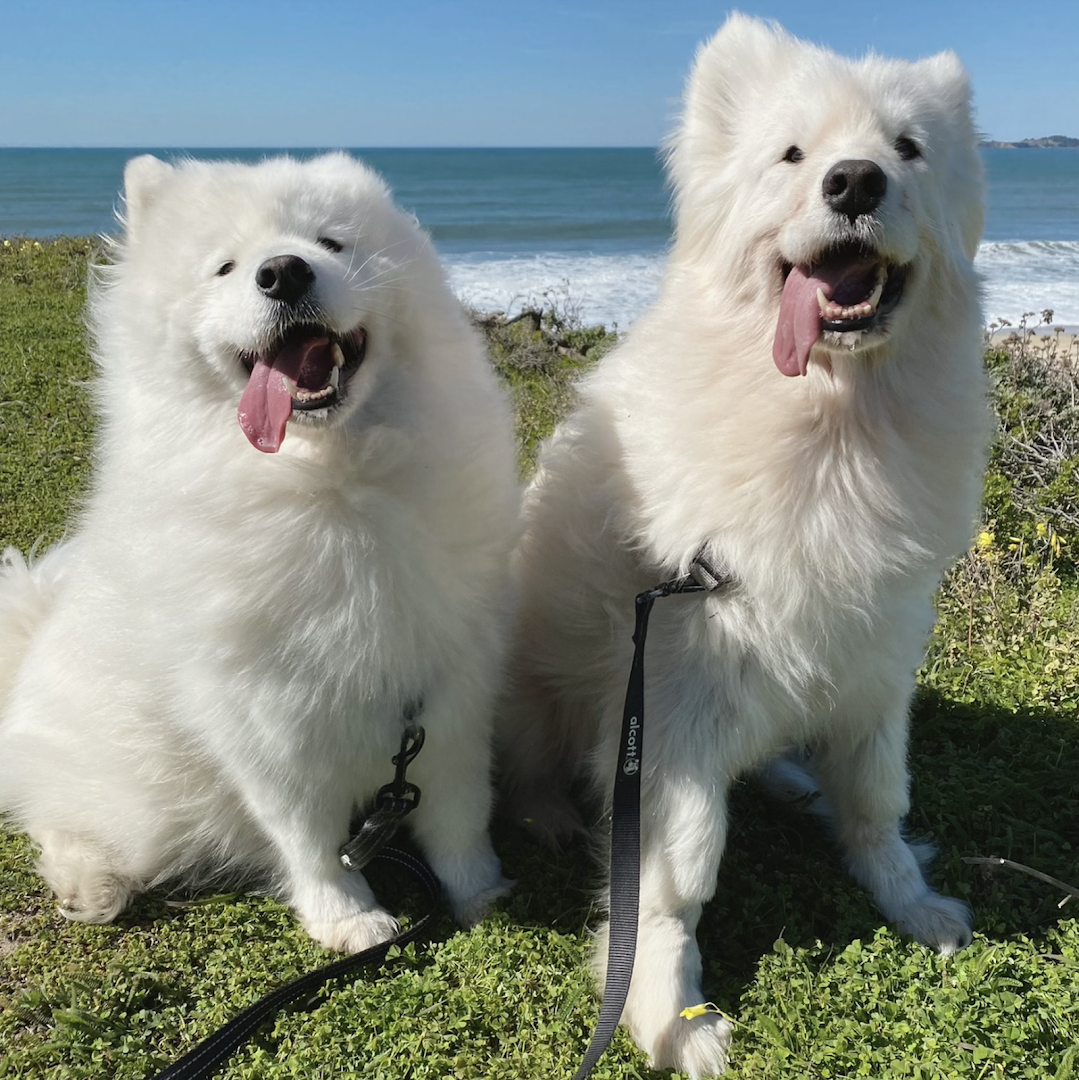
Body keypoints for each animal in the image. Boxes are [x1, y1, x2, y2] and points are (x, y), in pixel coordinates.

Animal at [0, 154, 522, 954]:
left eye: (330, 242)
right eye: (225, 267)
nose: (283, 272)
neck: (332, 487)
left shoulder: (447, 685)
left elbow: (459, 807)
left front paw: (478, 891)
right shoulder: (267, 719)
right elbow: (308, 837)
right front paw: (348, 917)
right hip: (136, 789)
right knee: (60, 811)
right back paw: (87, 879)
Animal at [501, 16, 989, 1080]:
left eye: (907, 150)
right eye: (794, 156)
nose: (854, 182)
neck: (830, 428)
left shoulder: (874, 660)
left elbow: (877, 800)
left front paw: (909, 898)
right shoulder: (674, 704)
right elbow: (673, 880)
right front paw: (667, 1012)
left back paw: (790, 778)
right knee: (529, 766)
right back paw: (551, 812)